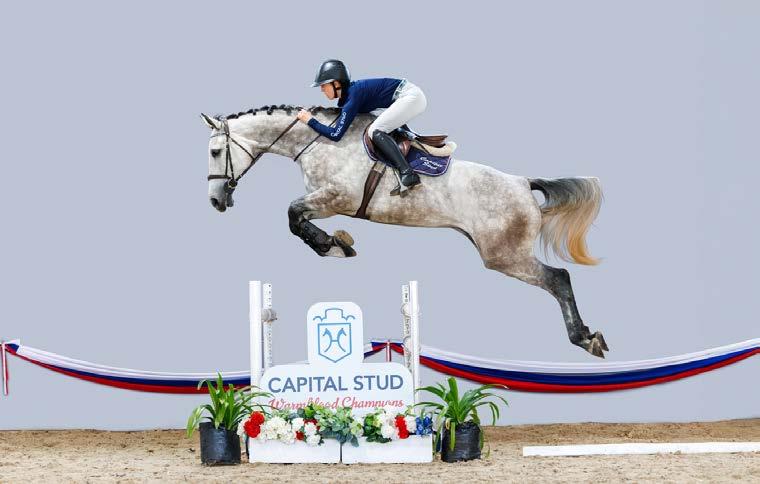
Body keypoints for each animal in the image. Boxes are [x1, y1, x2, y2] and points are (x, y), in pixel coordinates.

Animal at [201, 105, 608, 358]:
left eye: (215, 152)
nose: (216, 201)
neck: (318, 141)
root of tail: (523, 183)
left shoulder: (336, 198)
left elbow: (291, 215)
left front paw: (333, 245)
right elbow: (295, 218)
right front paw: (338, 243)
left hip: (504, 255)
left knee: (558, 278)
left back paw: (586, 338)